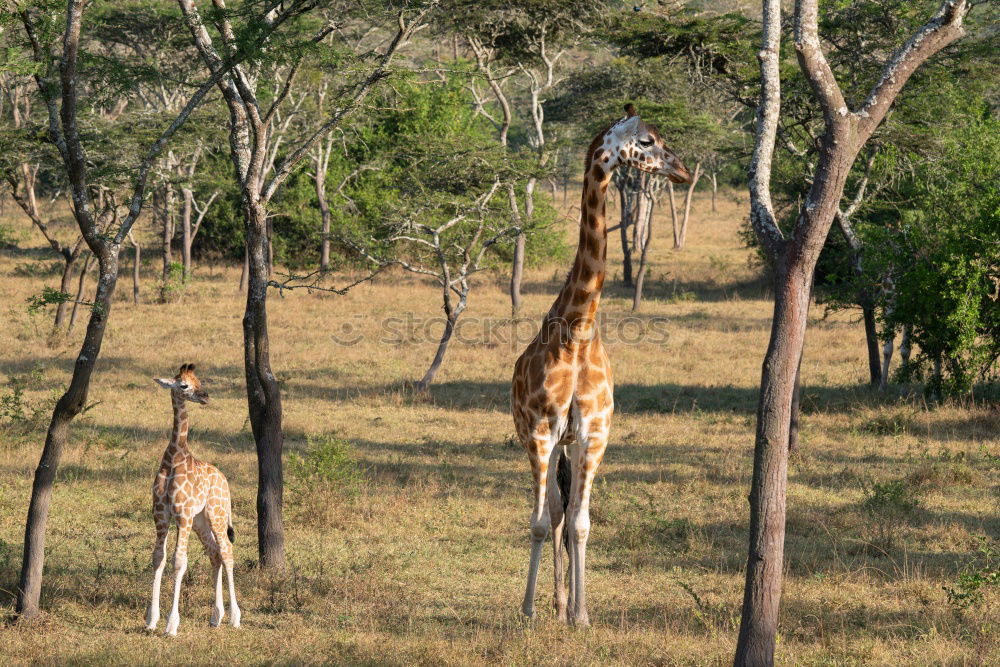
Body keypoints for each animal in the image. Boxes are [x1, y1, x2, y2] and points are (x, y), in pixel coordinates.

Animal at [146, 366, 241, 636]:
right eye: (184, 386)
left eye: (199, 381)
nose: (206, 396)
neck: (174, 458)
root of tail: (225, 481)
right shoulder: (161, 515)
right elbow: (158, 558)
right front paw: (151, 620)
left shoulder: (183, 515)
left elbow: (179, 562)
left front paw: (171, 624)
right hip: (201, 520)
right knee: (214, 552)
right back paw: (216, 616)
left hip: (216, 514)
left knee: (227, 550)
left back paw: (235, 617)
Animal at [516, 104, 688, 628]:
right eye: (647, 141)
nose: (682, 170)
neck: (577, 332)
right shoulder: (541, 431)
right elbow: (539, 522)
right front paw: (529, 610)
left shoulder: (594, 433)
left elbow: (582, 524)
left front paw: (581, 615)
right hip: (541, 439)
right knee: (550, 512)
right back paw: (547, 604)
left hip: (571, 443)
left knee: (565, 512)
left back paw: (563, 605)